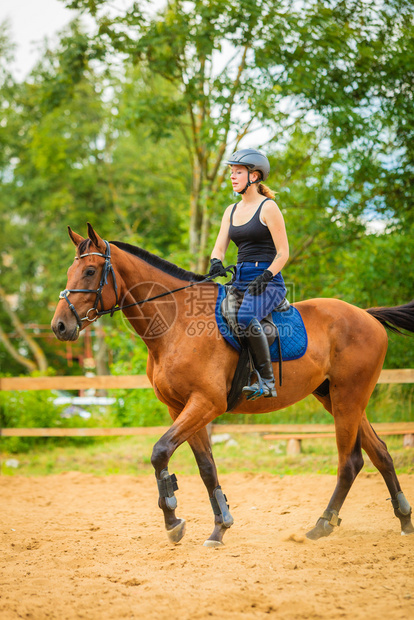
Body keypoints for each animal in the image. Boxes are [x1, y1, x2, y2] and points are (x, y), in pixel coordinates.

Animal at [51, 225, 414, 544]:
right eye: (71, 270)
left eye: (90, 271)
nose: (60, 326)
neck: (176, 322)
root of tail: (367, 315)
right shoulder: (180, 408)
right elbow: (206, 467)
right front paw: (218, 527)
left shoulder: (207, 403)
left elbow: (160, 452)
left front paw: (173, 521)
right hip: (337, 398)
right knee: (380, 453)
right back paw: (403, 521)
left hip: (347, 399)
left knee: (349, 462)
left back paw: (323, 524)